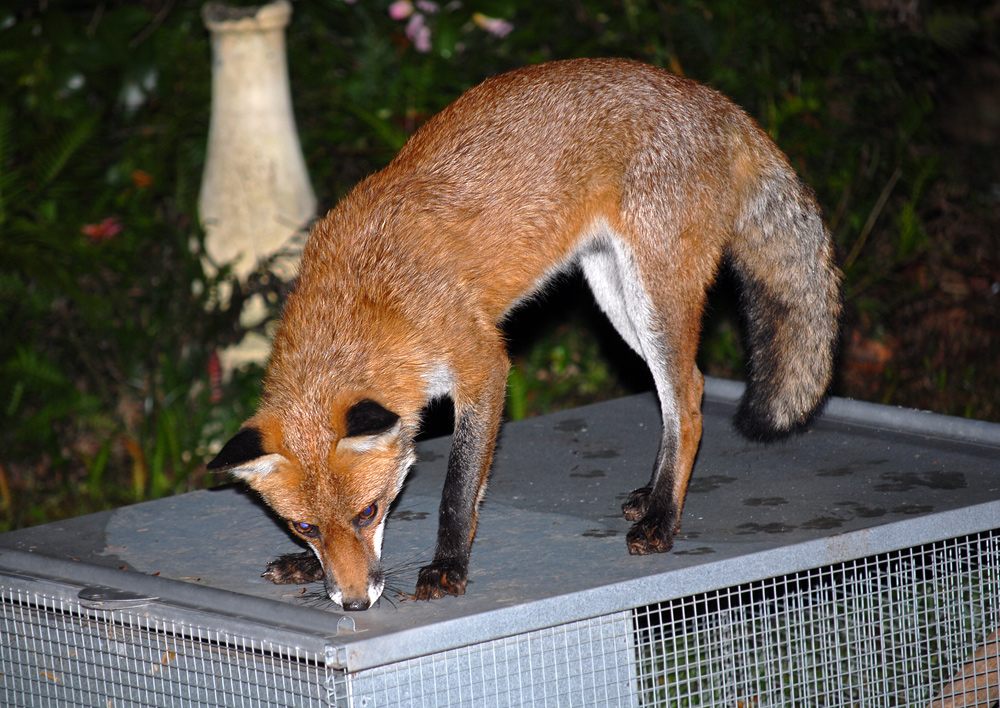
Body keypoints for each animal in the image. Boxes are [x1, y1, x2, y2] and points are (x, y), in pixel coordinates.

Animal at [207, 58, 842, 611]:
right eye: (305, 526)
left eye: (368, 512)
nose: (356, 602)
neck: (367, 301)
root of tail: (714, 99)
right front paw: (308, 566)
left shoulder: (483, 364)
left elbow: (458, 491)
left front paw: (448, 567)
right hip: (616, 297)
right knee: (691, 387)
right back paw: (653, 495)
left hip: (654, 297)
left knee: (687, 399)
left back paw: (663, 519)